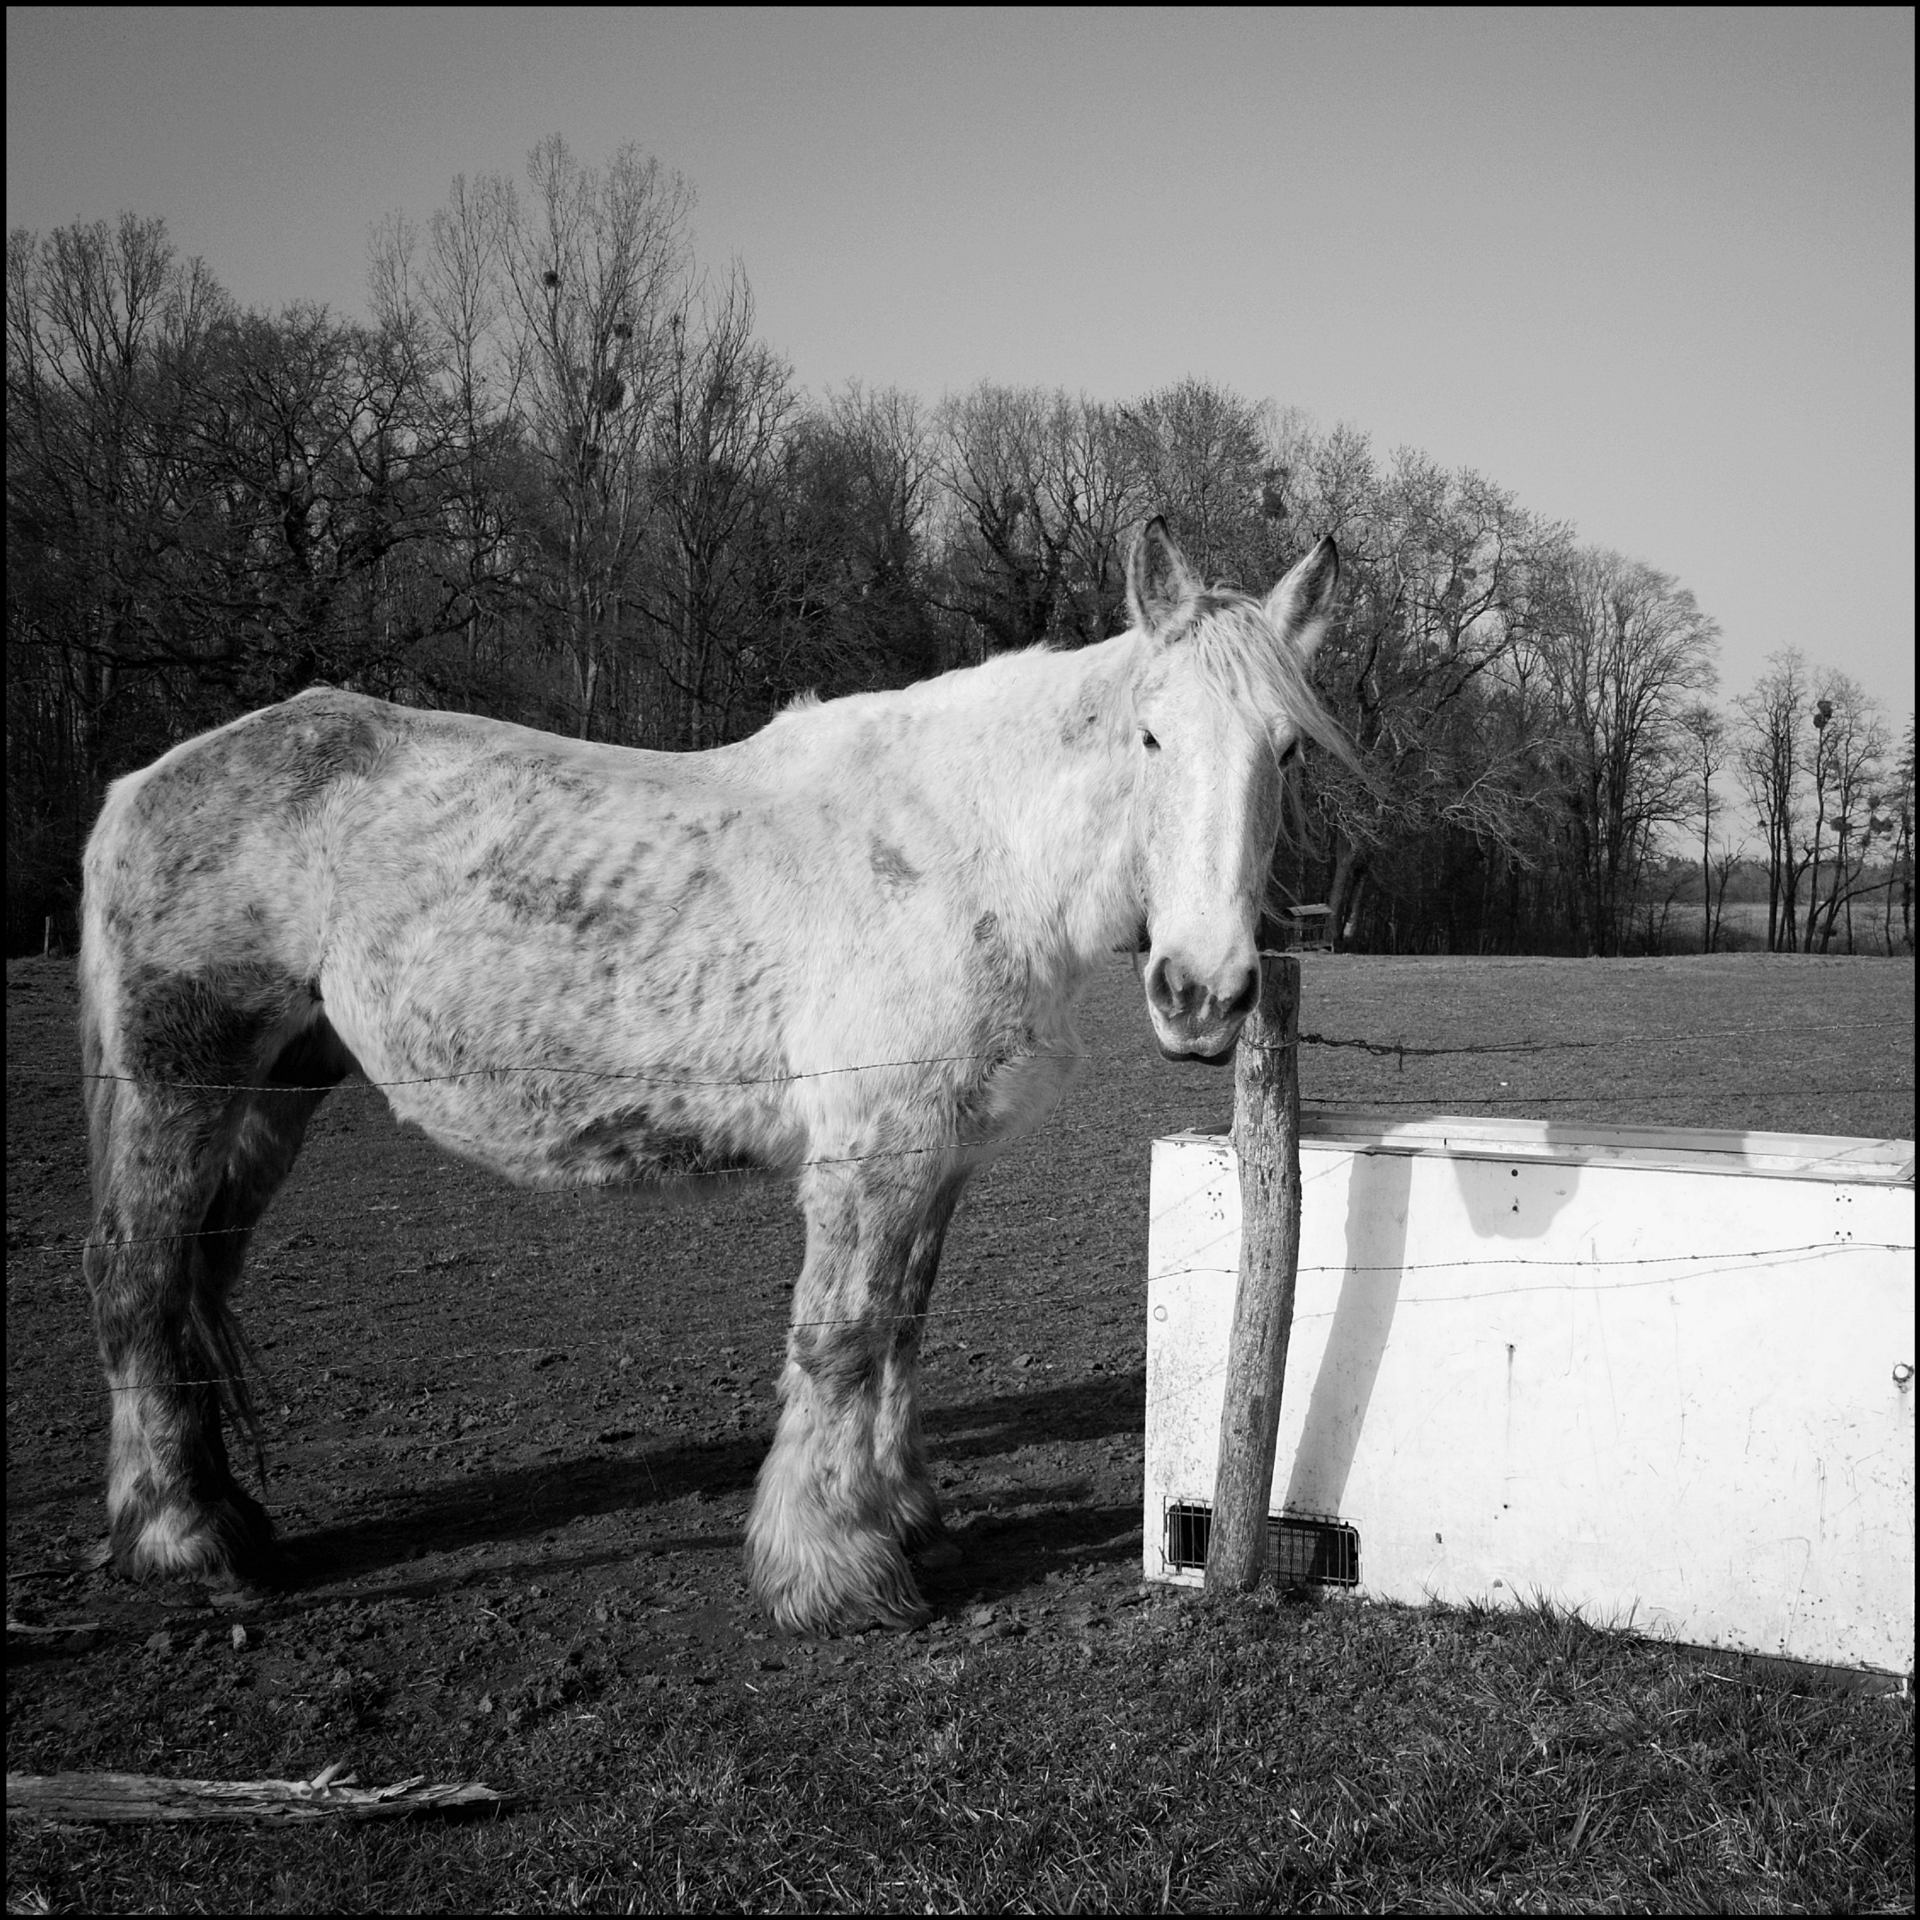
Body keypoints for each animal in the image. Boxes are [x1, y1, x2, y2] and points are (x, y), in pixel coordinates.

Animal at [78, 516, 1343, 1632]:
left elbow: (904, 1330)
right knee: (137, 1279)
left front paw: (909, 1524)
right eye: (1151, 738)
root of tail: (139, 787)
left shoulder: (936, 1153)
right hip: (181, 1081)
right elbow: (843, 1335)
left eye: (1285, 750)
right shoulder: (869, 1150)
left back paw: (225, 1520)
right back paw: (187, 1543)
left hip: (275, 1091)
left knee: (191, 1282)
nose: (1203, 992)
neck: (964, 849)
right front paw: (833, 1577)